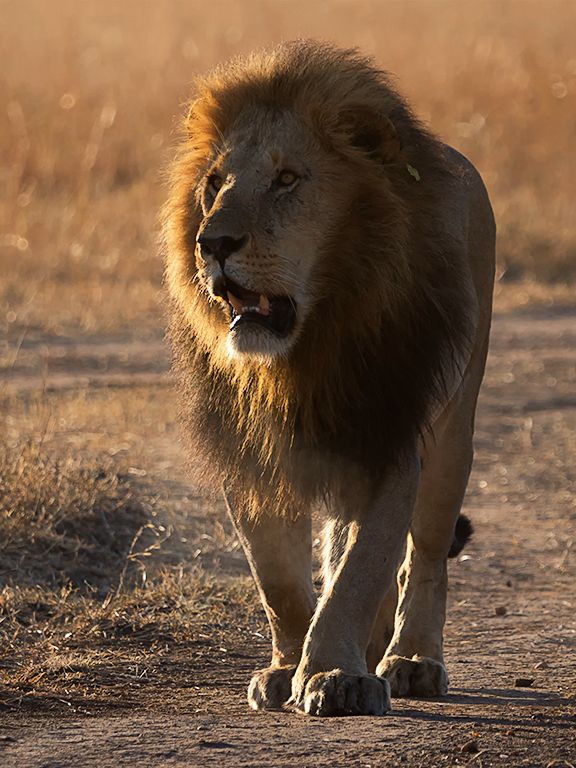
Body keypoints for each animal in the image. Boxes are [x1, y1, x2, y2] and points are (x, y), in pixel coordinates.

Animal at [163, 40, 495, 717]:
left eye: (288, 180)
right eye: (213, 184)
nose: (213, 243)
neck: (302, 355)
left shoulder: (387, 437)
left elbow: (360, 570)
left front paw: (335, 676)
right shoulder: (253, 457)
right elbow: (282, 581)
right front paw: (287, 669)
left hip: (454, 433)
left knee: (424, 557)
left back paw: (411, 659)